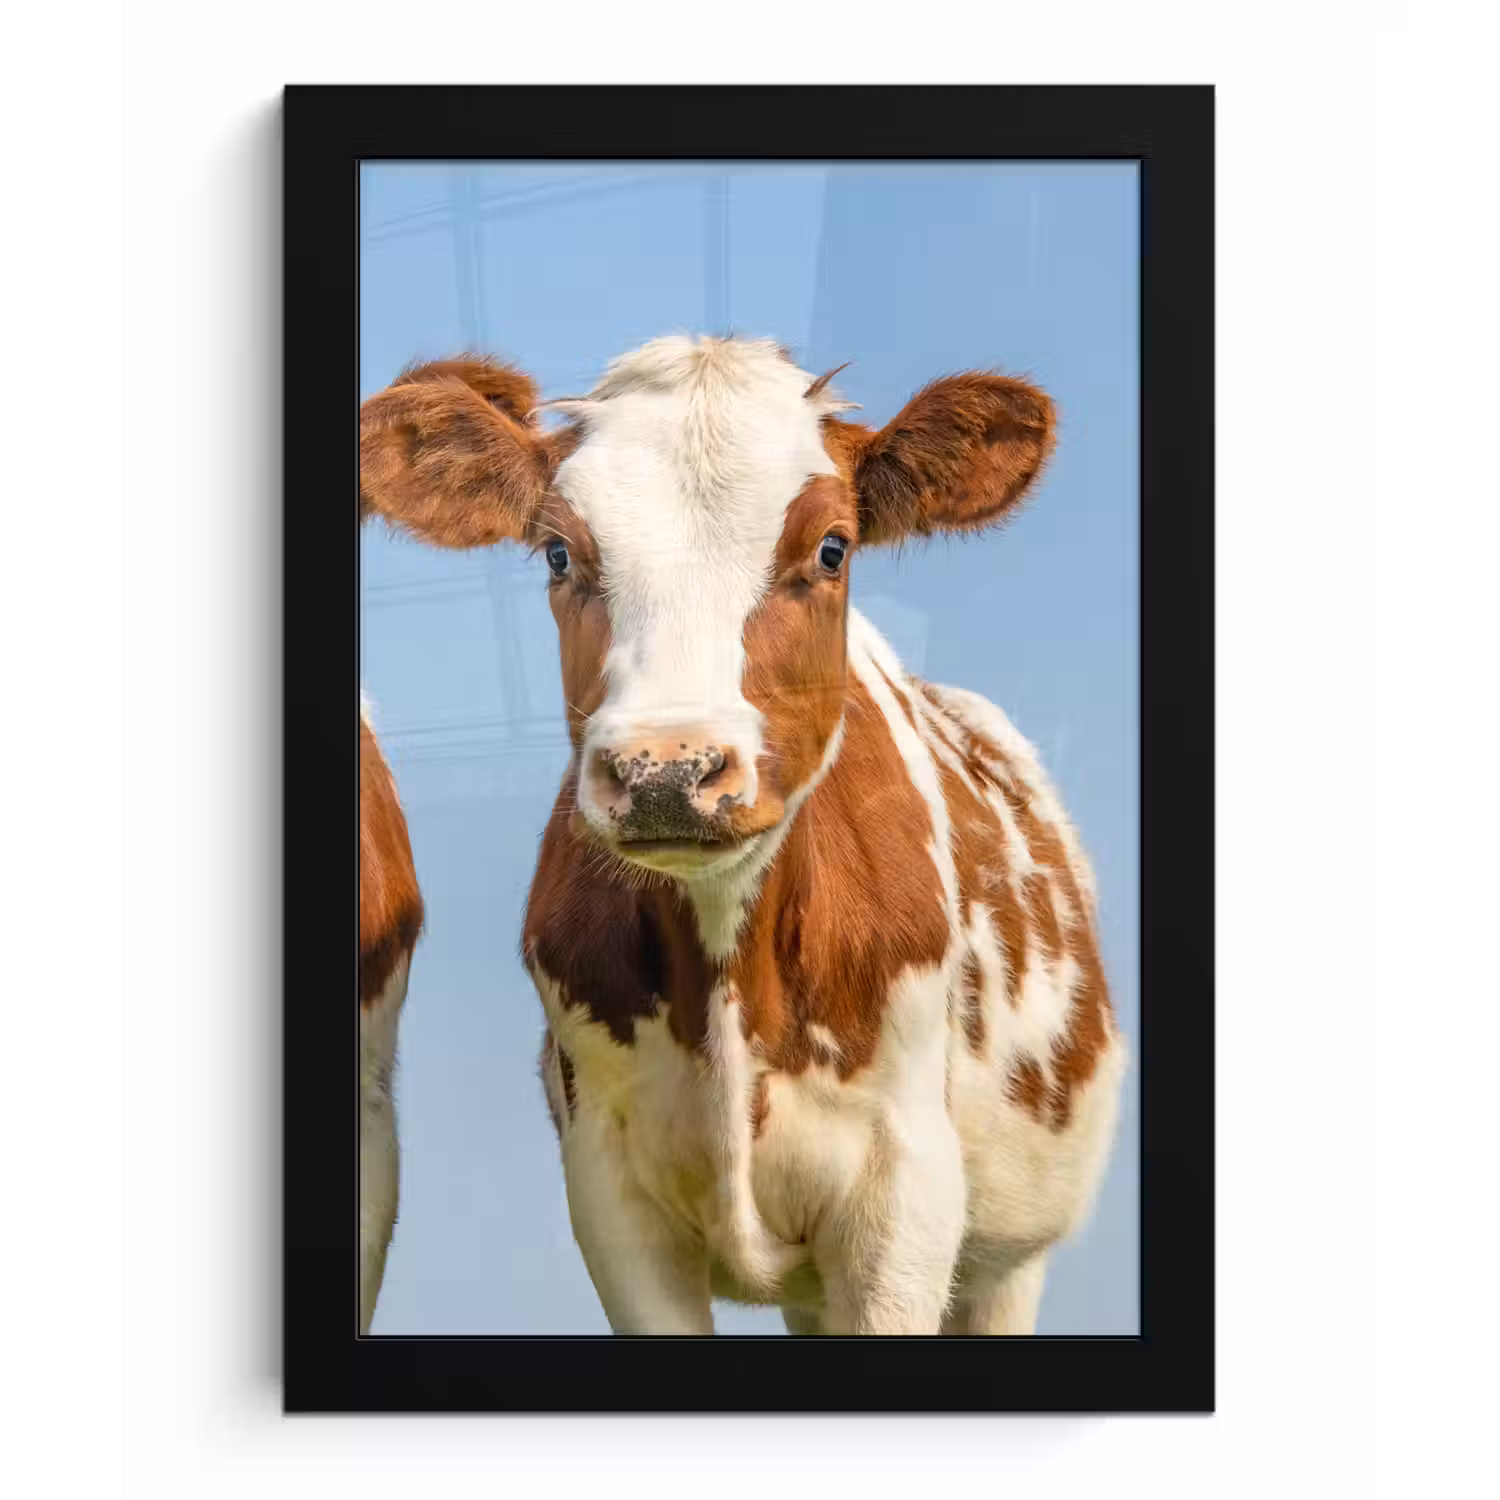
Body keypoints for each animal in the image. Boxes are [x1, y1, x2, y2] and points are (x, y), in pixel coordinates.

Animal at [358, 335, 1125, 1336]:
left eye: (832, 547)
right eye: (559, 552)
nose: (667, 770)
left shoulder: (904, 1202)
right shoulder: (613, 1198)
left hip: (1008, 1260)